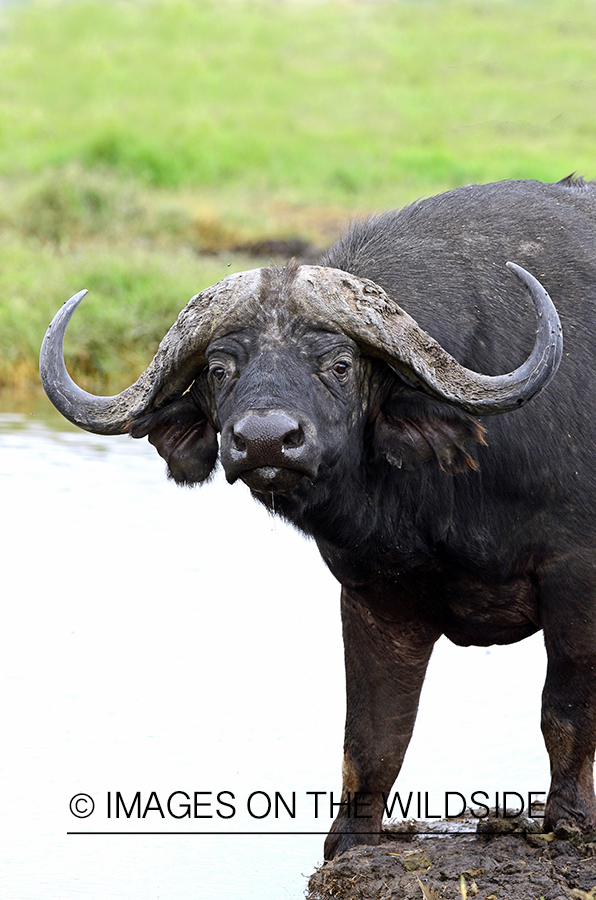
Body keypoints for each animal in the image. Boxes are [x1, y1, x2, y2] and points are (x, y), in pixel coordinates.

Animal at [40, 176, 596, 856]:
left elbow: (564, 711)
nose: (266, 442)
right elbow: (373, 735)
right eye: (219, 369)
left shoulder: (577, 575)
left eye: (339, 365)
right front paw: (350, 837)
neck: (447, 495)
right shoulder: (374, 596)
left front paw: (567, 822)